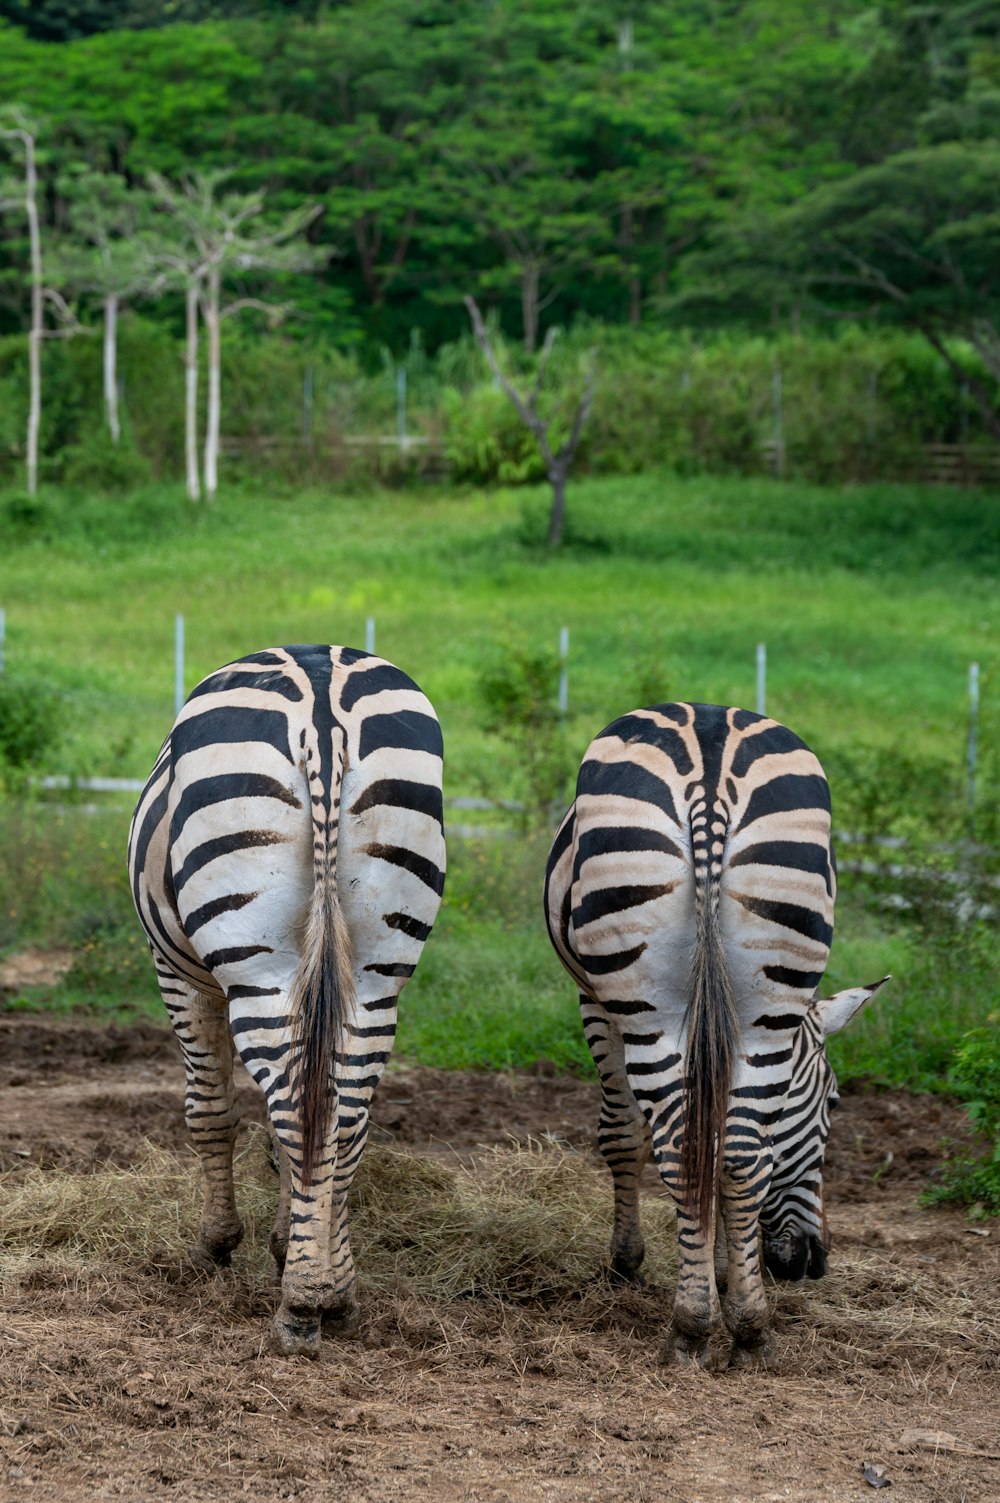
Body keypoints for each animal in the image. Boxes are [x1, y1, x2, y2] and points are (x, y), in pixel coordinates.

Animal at [125, 640, 445, 1358]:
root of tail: (322, 695)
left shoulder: (178, 975)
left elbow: (210, 1112)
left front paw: (219, 1245)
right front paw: (286, 1243)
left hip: (259, 961)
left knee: (299, 1112)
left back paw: (300, 1305)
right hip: (378, 971)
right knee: (341, 1116)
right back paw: (336, 1291)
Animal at [541, 697, 884, 1370]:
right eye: (834, 1103)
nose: (811, 1263)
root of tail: (710, 754)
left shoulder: (597, 1000)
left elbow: (625, 1134)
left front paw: (631, 1265)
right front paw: (725, 1275)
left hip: (648, 1001)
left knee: (686, 1149)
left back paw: (691, 1329)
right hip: (766, 1001)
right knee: (739, 1159)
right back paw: (748, 1331)